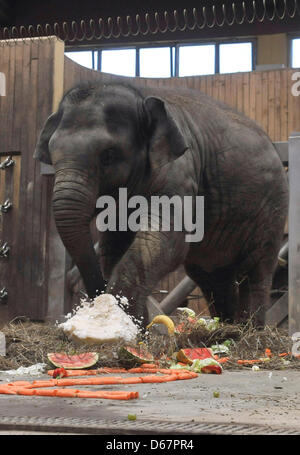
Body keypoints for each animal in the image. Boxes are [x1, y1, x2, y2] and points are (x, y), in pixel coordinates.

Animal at [34, 81, 288, 328]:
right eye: (52, 156)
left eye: (108, 155)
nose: (97, 297)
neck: (141, 97)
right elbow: (113, 245)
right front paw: (135, 324)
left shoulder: (180, 171)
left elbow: (167, 238)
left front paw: (127, 322)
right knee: (211, 274)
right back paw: (227, 326)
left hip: (272, 207)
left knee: (255, 268)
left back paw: (249, 330)